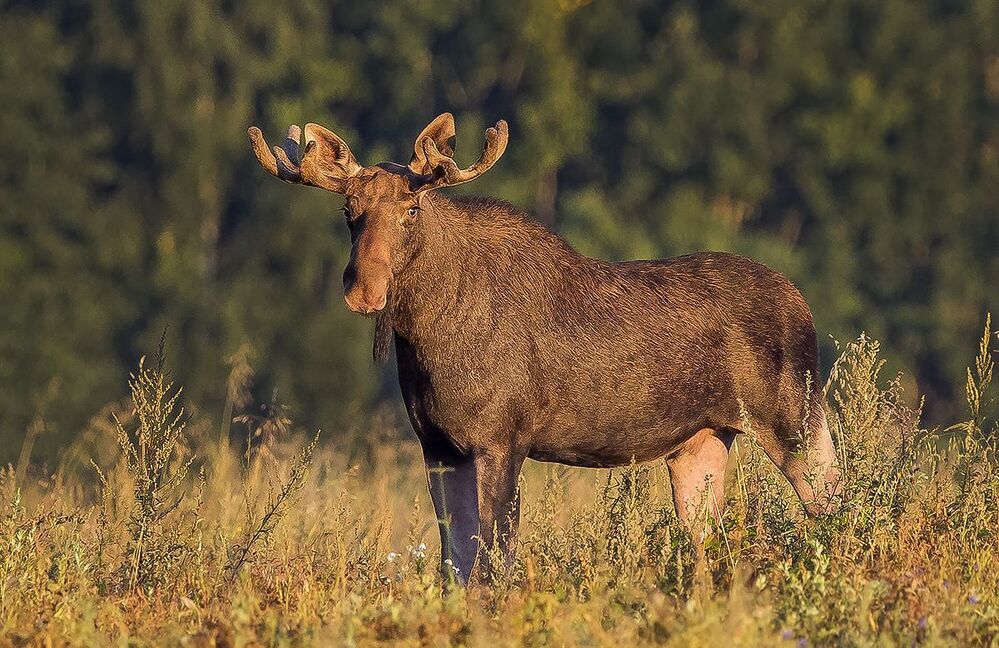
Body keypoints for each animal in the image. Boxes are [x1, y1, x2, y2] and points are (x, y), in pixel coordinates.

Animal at [247, 113, 842, 585]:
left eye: (411, 207)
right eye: (348, 210)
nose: (363, 287)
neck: (424, 334)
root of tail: (804, 304)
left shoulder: (501, 440)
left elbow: (491, 564)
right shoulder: (437, 447)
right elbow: (453, 564)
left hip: (795, 419)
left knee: (838, 503)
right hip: (701, 444)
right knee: (711, 547)